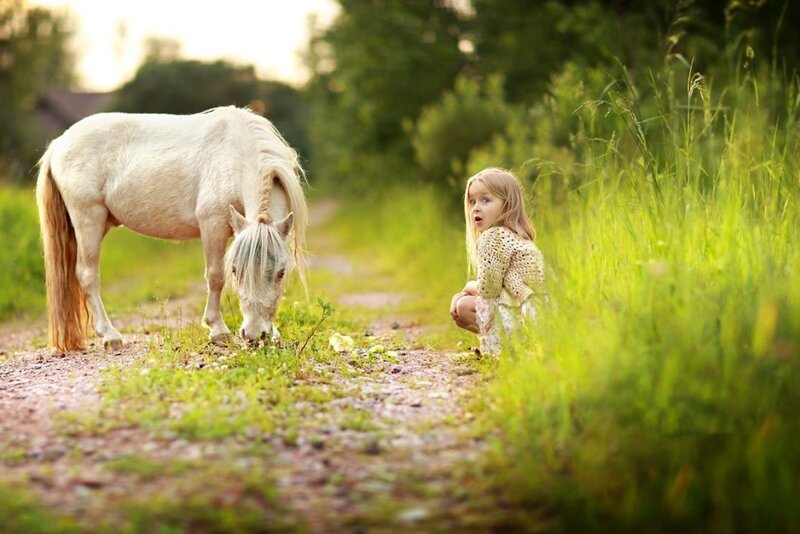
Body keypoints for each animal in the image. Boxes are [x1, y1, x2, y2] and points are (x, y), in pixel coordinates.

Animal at [36, 106, 308, 352]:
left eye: (282, 272)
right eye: (235, 269)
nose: (253, 334)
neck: (236, 155)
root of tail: (59, 143)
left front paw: (274, 334)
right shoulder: (213, 225)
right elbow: (215, 277)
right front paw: (218, 330)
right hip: (88, 220)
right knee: (88, 275)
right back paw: (110, 336)